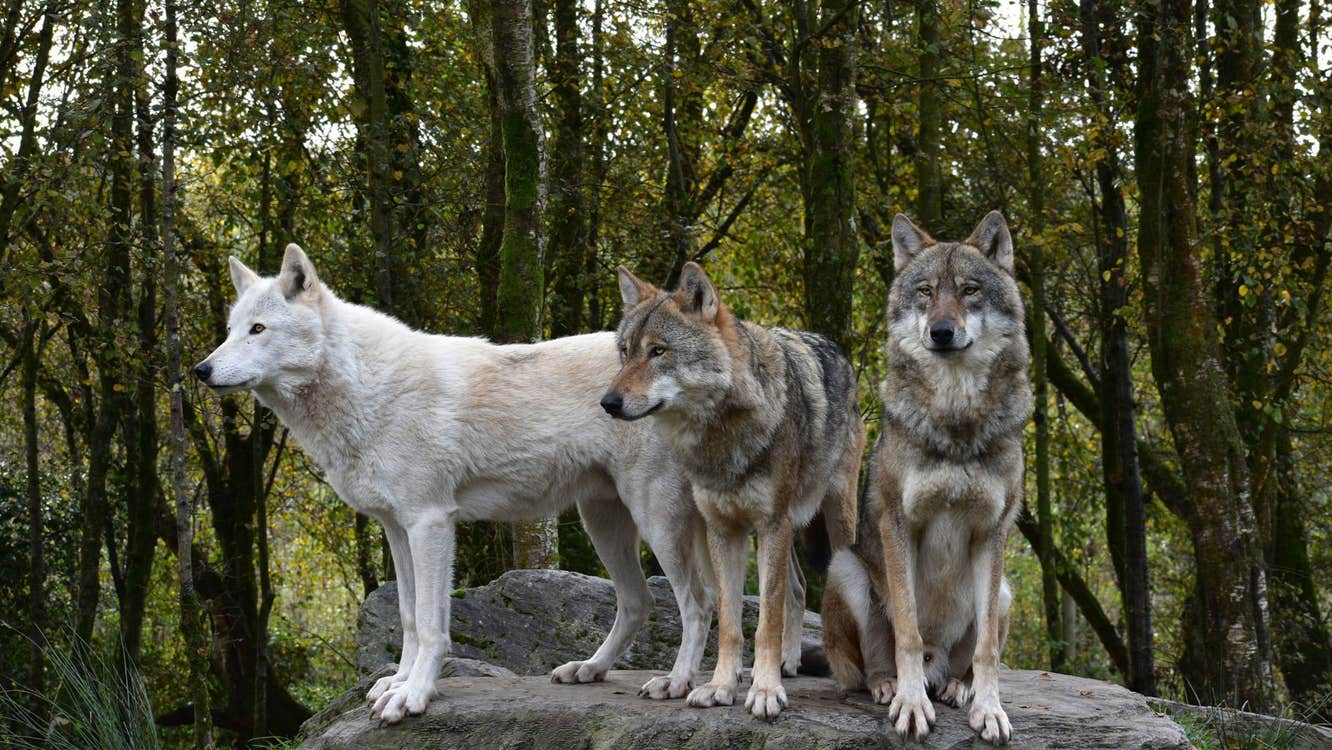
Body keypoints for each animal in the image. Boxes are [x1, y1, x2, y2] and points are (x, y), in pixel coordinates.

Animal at [194, 245, 717, 724]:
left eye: (258, 330)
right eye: (230, 331)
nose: (201, 370)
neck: (367, 388)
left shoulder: (431, 523)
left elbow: (430, 624)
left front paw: (413, 696)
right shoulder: (396, 529)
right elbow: (407, 617)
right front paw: (397, 681)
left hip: (655, 522)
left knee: (698, 602)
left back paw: (676, 682)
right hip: (602, 522)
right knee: (637, 602)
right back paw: (589, 668)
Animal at [602, 262, 865, 720]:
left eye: (658, 352)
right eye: (625, 351)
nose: (608, 402)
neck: (721, 437)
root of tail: (833, 347)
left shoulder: (771, 524)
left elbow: (766, 620)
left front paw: (766, 691)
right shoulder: (724, 529)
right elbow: (728, 620)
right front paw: (722, 685)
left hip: (833, 519)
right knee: (798, 588)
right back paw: (787, 662)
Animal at [820, 211, 1030, 745]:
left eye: (970, 290)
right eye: (926, 292)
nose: (941, 331)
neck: (955, 419)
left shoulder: (991, 533)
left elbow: (988, 652)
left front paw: (990, 711)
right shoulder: (900, 525)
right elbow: (909, 634)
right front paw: (912, 705)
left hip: (1002, 592)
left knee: (967, 660)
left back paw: (957, 687)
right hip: (846, 568)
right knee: (869, 667)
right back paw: (889, 686)